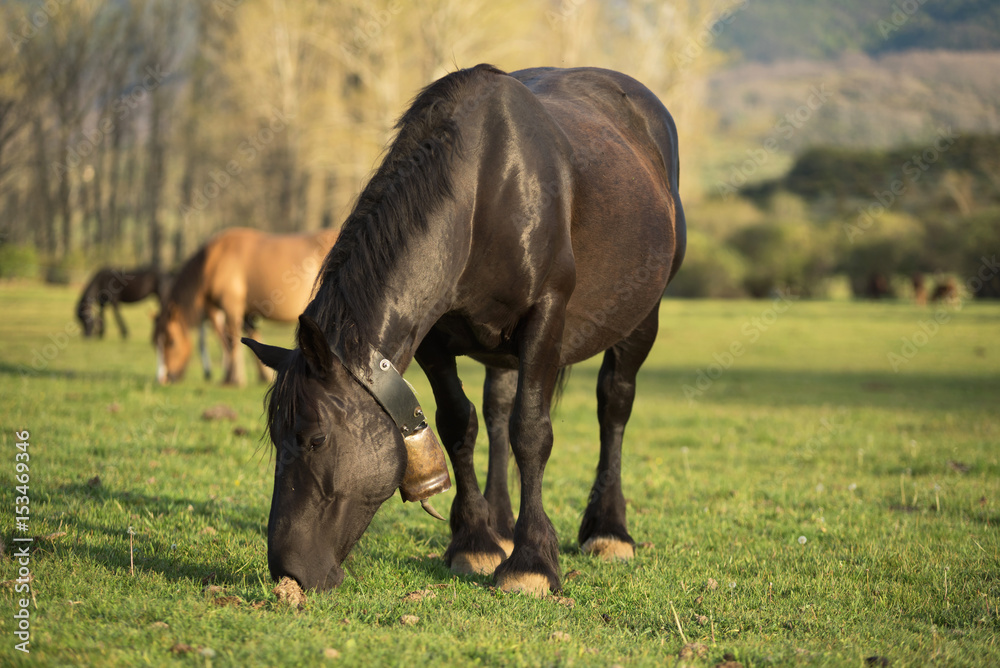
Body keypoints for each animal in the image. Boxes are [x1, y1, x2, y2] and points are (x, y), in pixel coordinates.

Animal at [153, 227, 338, 386]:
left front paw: (234, 379)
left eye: (172, 342)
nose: (163, 378)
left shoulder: (231, 307)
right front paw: (263, 376)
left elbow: (230, 340)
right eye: (155, 343)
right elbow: (250, 337)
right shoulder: (247, 313)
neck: (215, 260)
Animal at [243, 64, 686, 596]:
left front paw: (532, 562)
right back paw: (501, 523)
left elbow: (531, 432)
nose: (287, 570)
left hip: (642, 318)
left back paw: (608, 529)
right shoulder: (433, 338)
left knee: (613, 406)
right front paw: (475, 541)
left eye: (315, 439)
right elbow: (460, 424)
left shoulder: (546, 317)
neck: (485, 191)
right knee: (497, 410)